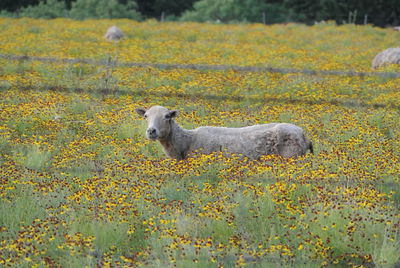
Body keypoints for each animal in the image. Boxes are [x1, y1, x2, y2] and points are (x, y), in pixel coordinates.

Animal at [136, 105, 314, 160]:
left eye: (167, 116)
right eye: (145, 116)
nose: (151, 131)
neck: (186, 141)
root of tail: (304, 135)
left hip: (291, 156)